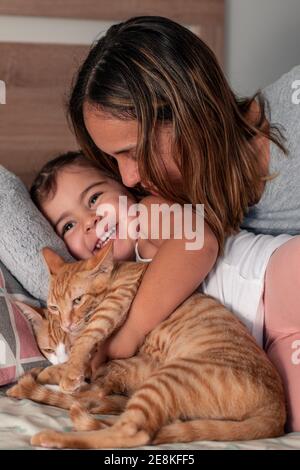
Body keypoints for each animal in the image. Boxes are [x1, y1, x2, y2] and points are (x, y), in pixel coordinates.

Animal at [7, 242, 284, 448]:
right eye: (54, 307)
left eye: (78, 300)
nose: (66, 324)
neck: (118, 270)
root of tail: (277, 409)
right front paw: (58, 371)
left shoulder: (119, 296)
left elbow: (90, 333)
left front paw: (68, 370)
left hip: (170, 377)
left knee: (132, 431)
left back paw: (54, 435)